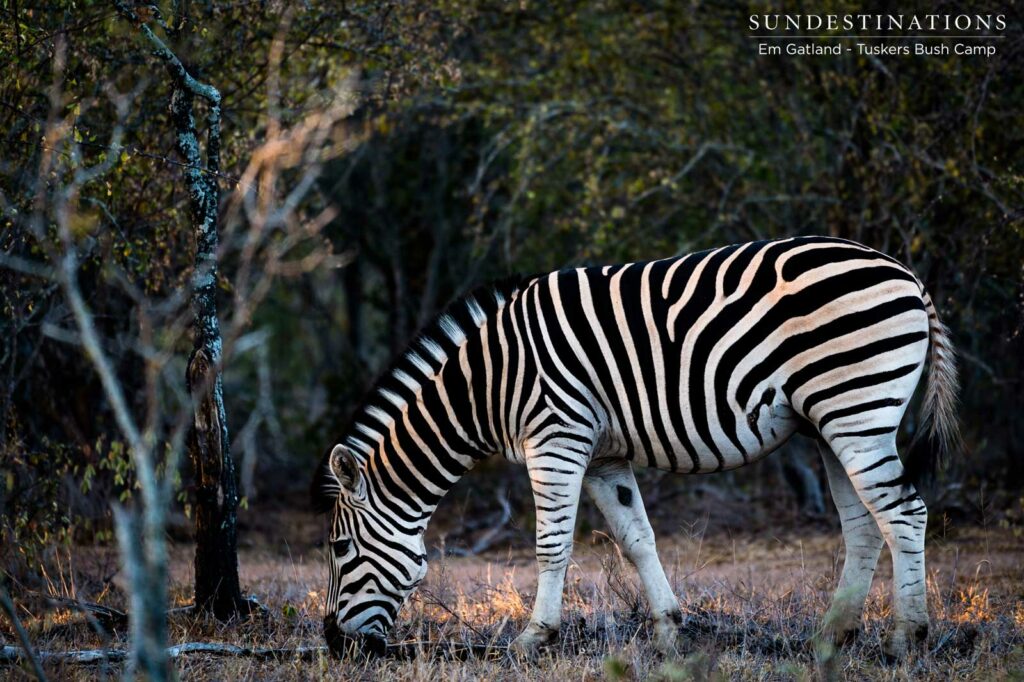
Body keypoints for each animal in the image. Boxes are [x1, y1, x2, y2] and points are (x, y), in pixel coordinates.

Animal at [311, 235, 960, 660]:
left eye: (340, 548)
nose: (335, 644)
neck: (488, 384)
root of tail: (905, 272)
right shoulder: (604, 457)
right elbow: (637, 540)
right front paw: (671, 632)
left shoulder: (557, 438)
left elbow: (551, 546)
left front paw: (532, 638)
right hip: (830, 421)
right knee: (865, 524)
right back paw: (832, 637)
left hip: (856, 406)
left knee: (904, 513)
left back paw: (907, 639)